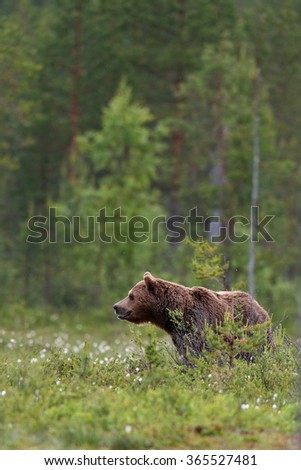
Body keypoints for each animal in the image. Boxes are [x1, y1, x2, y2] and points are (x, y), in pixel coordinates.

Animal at [112, 272, 272, 364]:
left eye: (131, 296)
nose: (116, 306)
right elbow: (185, 352)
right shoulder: (178, 334)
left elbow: (200, 351)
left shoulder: (199, 322)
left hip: (251, 328)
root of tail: (259, 306)